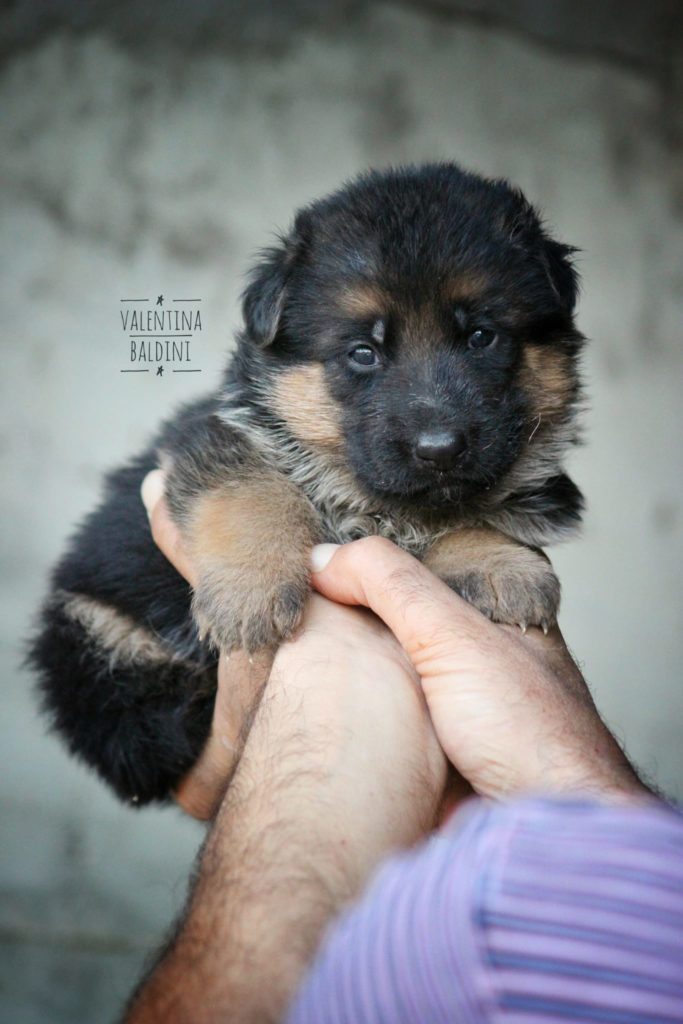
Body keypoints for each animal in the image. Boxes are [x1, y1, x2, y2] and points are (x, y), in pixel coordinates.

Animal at [28, 163, 581, 802]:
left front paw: (499, 564)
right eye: (364, 352)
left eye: (481, 337)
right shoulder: (216, 438)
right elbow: (252, 494)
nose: (439, 449)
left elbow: (478, 509)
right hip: (89, 622)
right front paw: (252, 591)